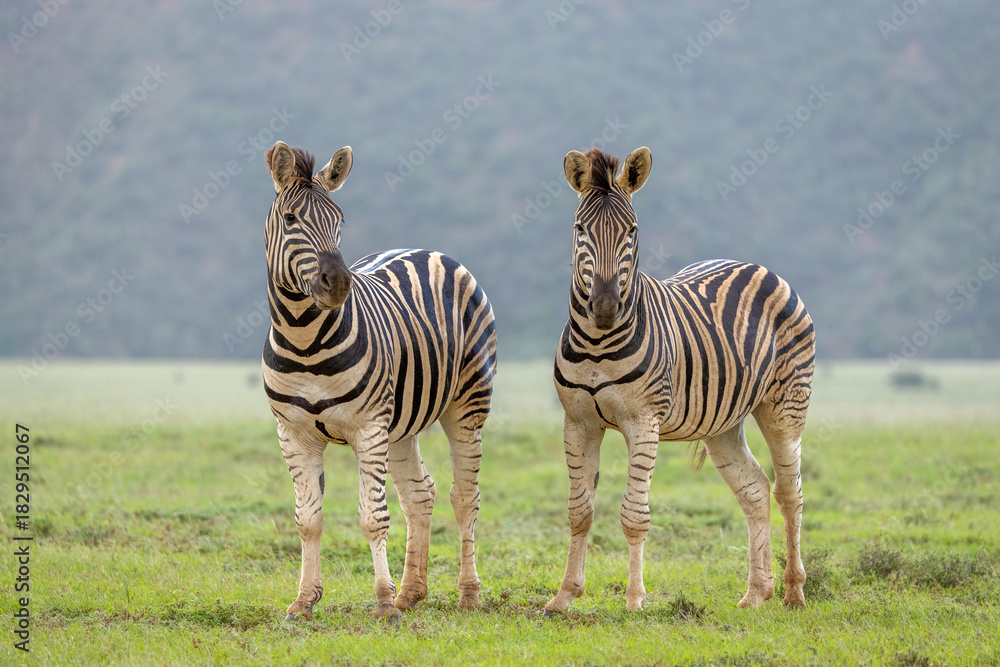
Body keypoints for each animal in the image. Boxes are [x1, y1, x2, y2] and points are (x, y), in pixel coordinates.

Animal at [260, 141, 497, 621]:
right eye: (291, 219)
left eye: (339, 219)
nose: (338, 283)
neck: (304, 341)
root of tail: (427, 250)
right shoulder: (292, 433)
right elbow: (308, 519)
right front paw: (303, 601)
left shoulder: (367, 427)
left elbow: (373, 517)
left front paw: (384, 602)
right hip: (401, 423)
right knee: (421, 494)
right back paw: (413, 591)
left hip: (466, 406)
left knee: (464, 496)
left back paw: (466, 593)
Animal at [543, 147, 815, 614]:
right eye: (580, 229)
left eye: (632, 231)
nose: (604, 306)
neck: (597, 342)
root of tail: (759, 266)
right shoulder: (578, 422)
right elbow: (580, 511)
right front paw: (564, 596)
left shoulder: (643, 422)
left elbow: (634, 515)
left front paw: (635, 599)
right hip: (722, 423)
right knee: (756, 490)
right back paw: (756, 593)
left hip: (785, 406)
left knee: (788, 492)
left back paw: (793, 591)